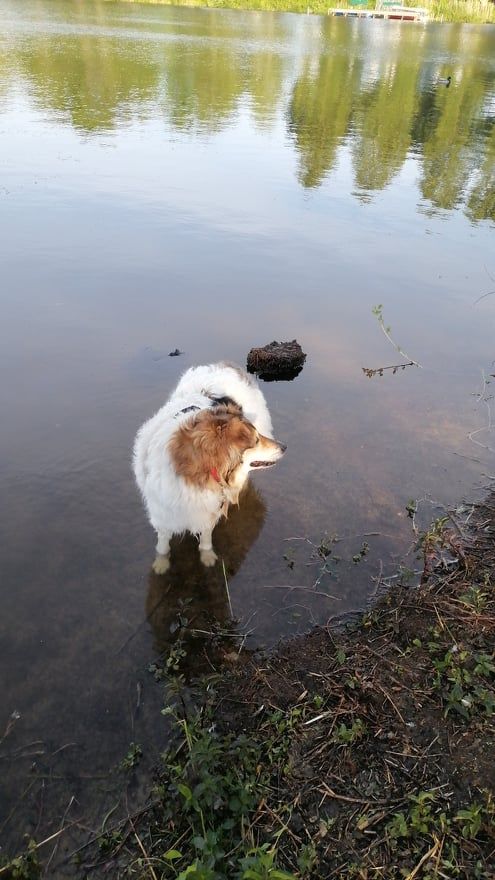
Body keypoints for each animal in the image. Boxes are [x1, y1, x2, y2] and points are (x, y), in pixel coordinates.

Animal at [133, 362, 286, 576]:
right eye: (255, 441)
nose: (284, 447)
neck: (195, 473)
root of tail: (225, 364)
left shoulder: (210, 507)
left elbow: (206, 536)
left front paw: (207, 557)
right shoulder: (163, 512)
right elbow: (163, 542)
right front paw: (161, 563)